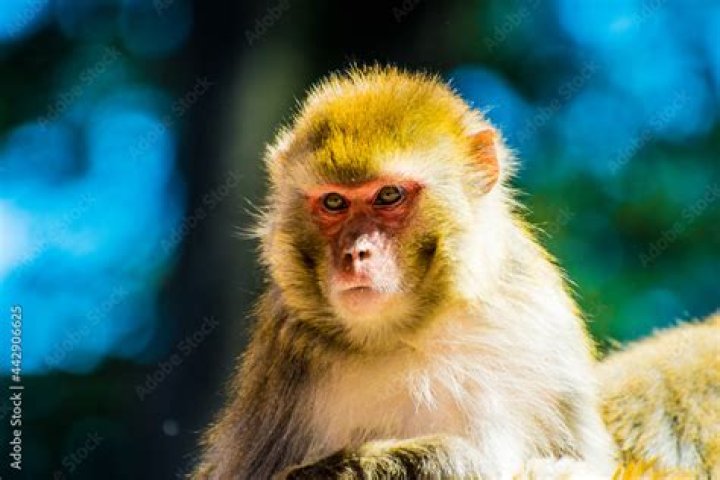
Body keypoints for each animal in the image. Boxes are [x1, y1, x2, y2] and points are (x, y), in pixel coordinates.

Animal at [192, 66, 619, 479]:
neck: (409, 334)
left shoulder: (539, 319)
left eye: (388, 195)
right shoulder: (285, 351)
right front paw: (445, 458)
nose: (355, 253)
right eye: (334, 202)